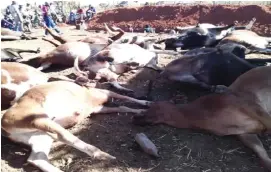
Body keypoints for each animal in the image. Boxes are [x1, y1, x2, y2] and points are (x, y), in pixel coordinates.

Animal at [1, 80, 152, 172]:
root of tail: (5, 128)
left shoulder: (98, 108)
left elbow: (122, 106)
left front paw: (142, 109)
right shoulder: (103, 95)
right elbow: (124, 98)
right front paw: (146, 103)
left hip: (40, 136)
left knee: (37, 159)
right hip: (40, 120)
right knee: (67, 137)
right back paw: (105, 156)